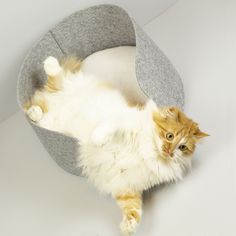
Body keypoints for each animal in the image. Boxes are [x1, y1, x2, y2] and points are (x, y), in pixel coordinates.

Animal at [24, 46, 208, 236]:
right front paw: (97, 139)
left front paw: (129, 227)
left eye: (182, 147)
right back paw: (50, 63)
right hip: (67, 87)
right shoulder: (122, 122)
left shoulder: (126, 185)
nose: (170, 151)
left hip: (51, 120)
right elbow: (108, 127)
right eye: (170, 136)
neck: (148, 151)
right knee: (55, 79)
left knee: (39, 108)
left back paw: (33, 112)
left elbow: (133, 208)